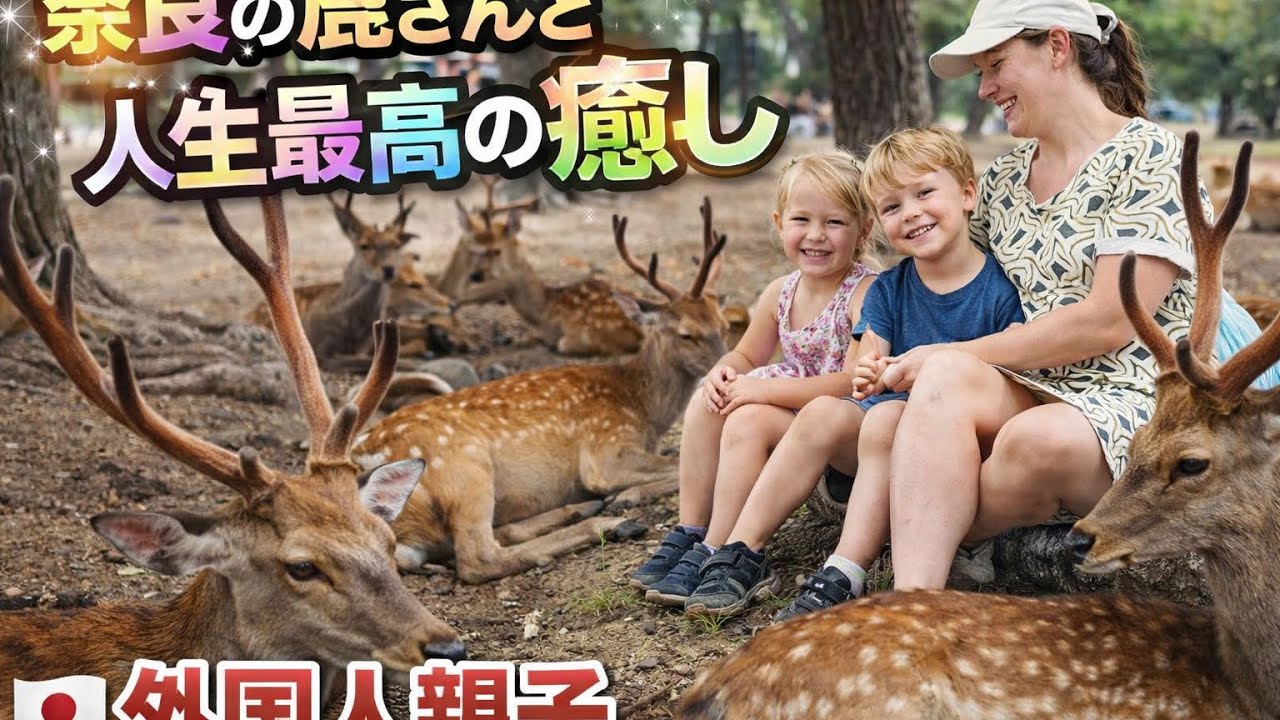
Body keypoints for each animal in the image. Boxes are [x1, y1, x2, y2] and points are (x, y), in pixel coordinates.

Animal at [350, 207, 731, 584]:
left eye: (724, 326)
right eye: (686, 334)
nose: (726, 366)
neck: (642, 408)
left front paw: (623, 496)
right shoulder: (605, 450)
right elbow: (680, 469)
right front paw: (628, 496)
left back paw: (584, 509)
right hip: (464, 465)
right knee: (478, 558)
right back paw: (610, 521)